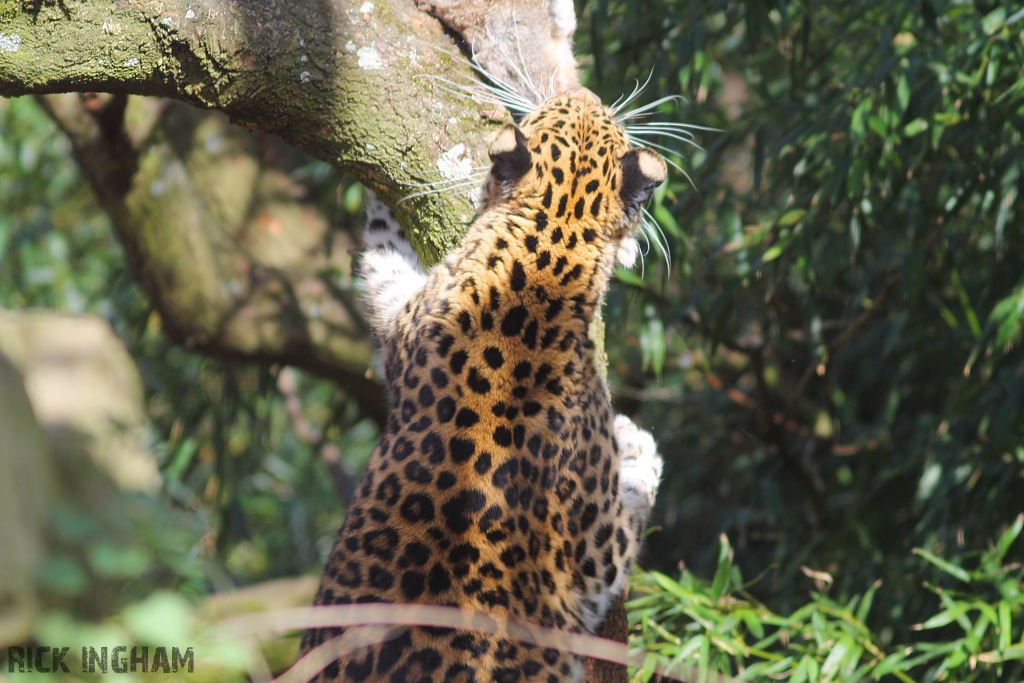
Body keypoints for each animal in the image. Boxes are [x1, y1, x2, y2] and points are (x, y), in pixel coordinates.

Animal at [296, 82, 663, 679]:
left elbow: (382, 258)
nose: (584, 90)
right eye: (573, 110)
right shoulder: (589, 552)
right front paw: (636, 443)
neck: (551, 244)